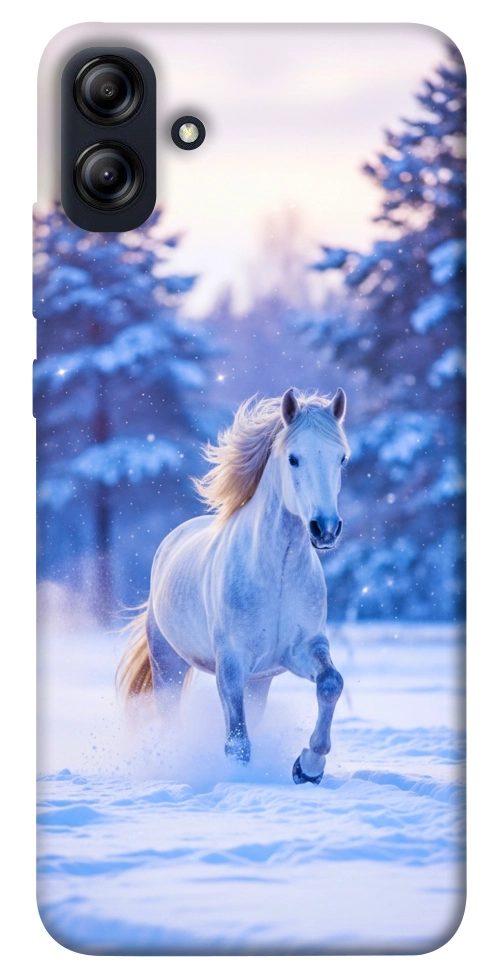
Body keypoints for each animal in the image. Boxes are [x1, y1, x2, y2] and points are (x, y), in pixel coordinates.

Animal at [118, 387, 350, 784]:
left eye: (341, 459)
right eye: (294, 458)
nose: (325, 529)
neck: (277, 573)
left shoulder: (301, 649)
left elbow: (331, 683)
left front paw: (308, 767)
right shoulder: (231, 664)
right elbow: (237, 742)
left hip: (259, 682)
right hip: (168, 665)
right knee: (170, 717)